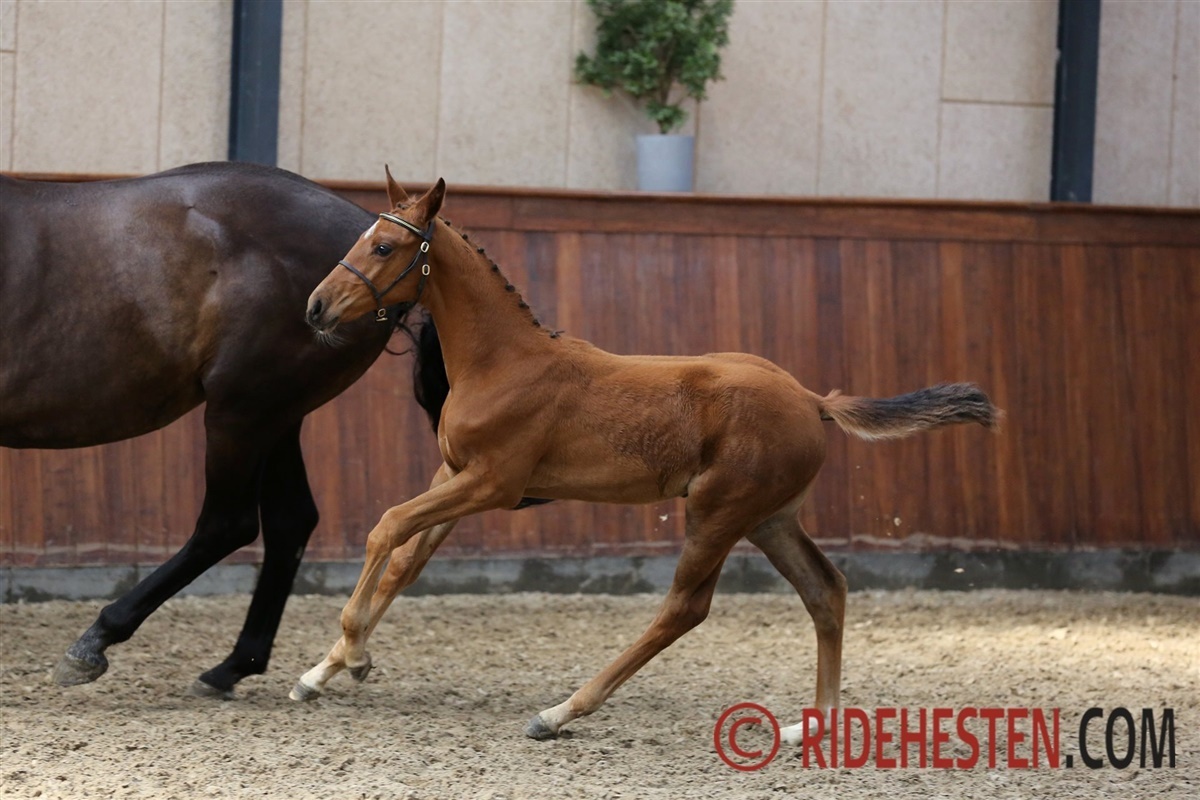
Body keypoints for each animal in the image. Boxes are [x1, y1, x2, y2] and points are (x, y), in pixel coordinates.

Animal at [0, 162, 450, 698]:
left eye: (382, 249)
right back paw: (232, 666)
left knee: (227, 523)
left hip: (241, 410)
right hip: (278, 415)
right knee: (290, 520)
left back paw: (95, 643)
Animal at [295, 173, 1001, 742]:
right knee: (825, 591)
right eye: (363, 238)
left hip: (719, 511)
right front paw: (320, 671)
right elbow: (403, 564)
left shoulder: (492, 483)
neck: (502, 361)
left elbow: (385, 526)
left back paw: (560, 712)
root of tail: (810, 398)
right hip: (771, 519)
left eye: (383, 247)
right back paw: (811, 726)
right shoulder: (455, 474)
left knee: (685, 608)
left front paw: (354, 655)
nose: (315, 306)